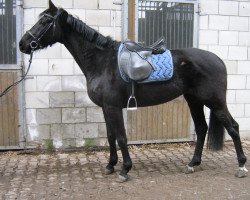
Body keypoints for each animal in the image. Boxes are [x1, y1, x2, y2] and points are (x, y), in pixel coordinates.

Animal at [18, 0, 247, 181]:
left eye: (45, 21)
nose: (23, 44)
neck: (102, 62)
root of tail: (218, 60)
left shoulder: (113, 107)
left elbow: (121, 137)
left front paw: (124, 170)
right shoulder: (106, 108)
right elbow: (111, 136)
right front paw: (110, 165)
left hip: (214, 101)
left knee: (233, 127)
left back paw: (241, 166)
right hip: (194, 100)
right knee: (201, 129)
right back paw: (192, 164)